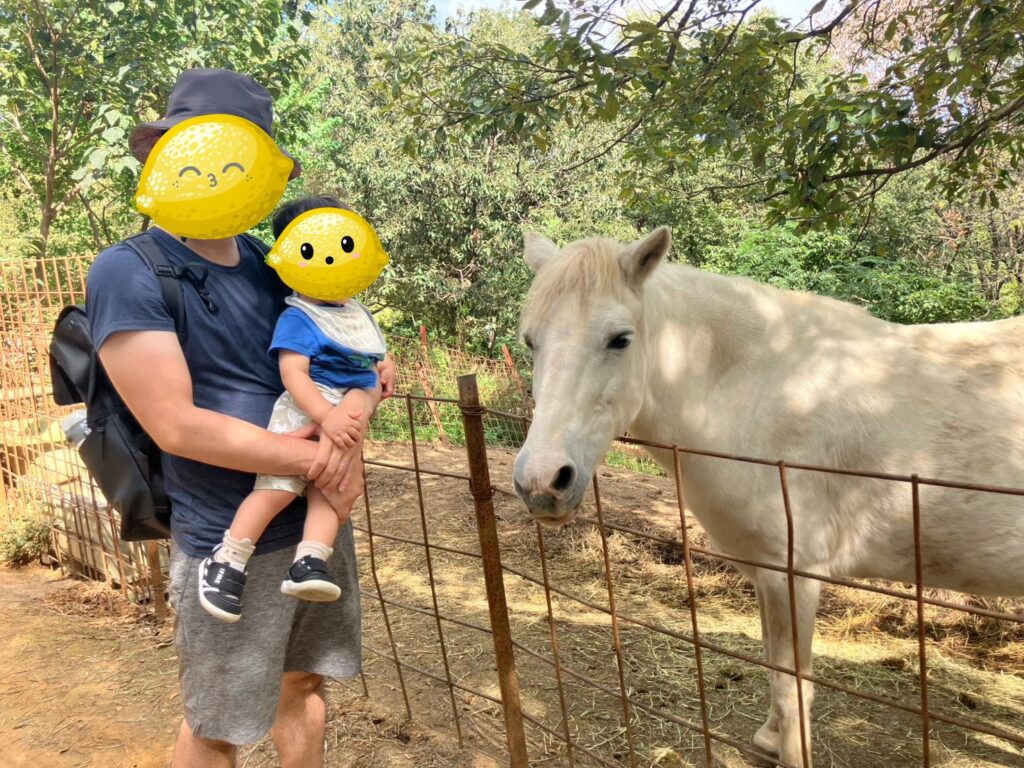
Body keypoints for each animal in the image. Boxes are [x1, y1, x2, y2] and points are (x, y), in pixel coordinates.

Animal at [512, 227, 1024, 768]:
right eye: (531, 341)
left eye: (620, 339)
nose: (542, 482)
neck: (758, 392)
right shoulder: (766, 575)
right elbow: (773, 666)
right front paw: (770, 739)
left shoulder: (794, 577)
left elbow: (793, 686)